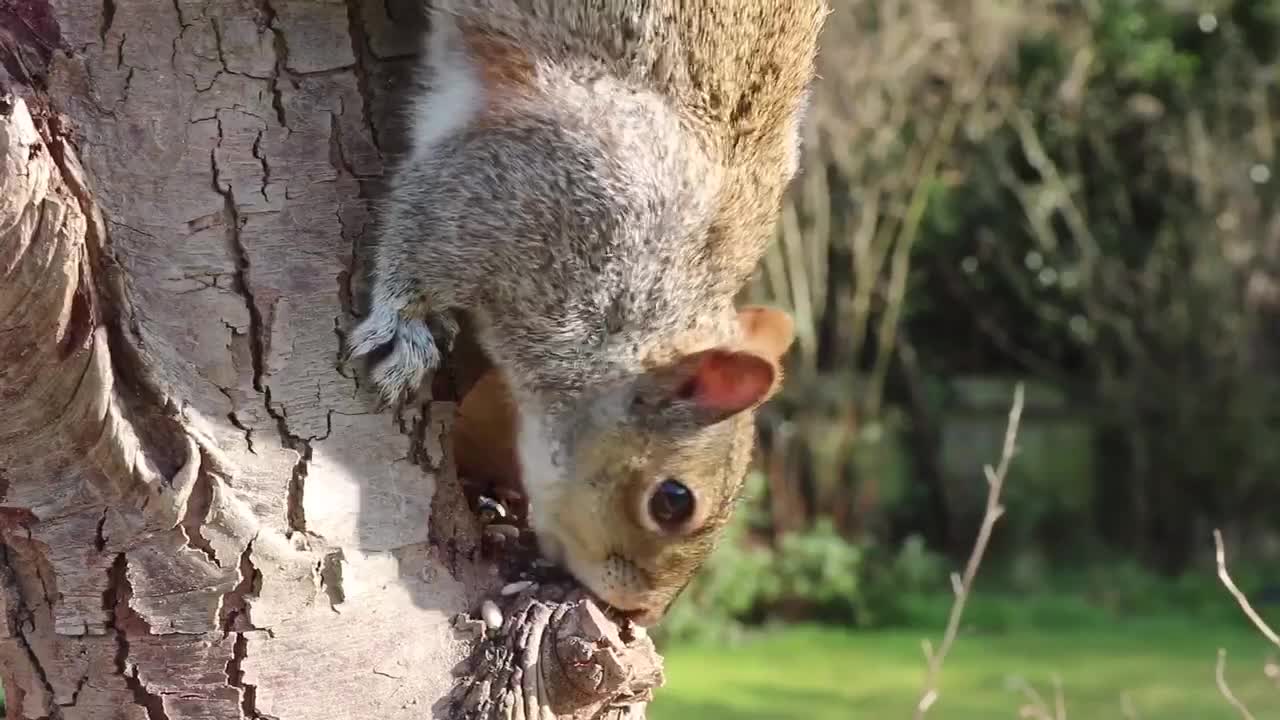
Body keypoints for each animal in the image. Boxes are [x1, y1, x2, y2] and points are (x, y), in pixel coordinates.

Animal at [348, 1, 829, 622]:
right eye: (672, 502)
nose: (641, 614)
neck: (639, 309)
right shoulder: (531, 189)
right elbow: (422, 227)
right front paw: (403, 328)